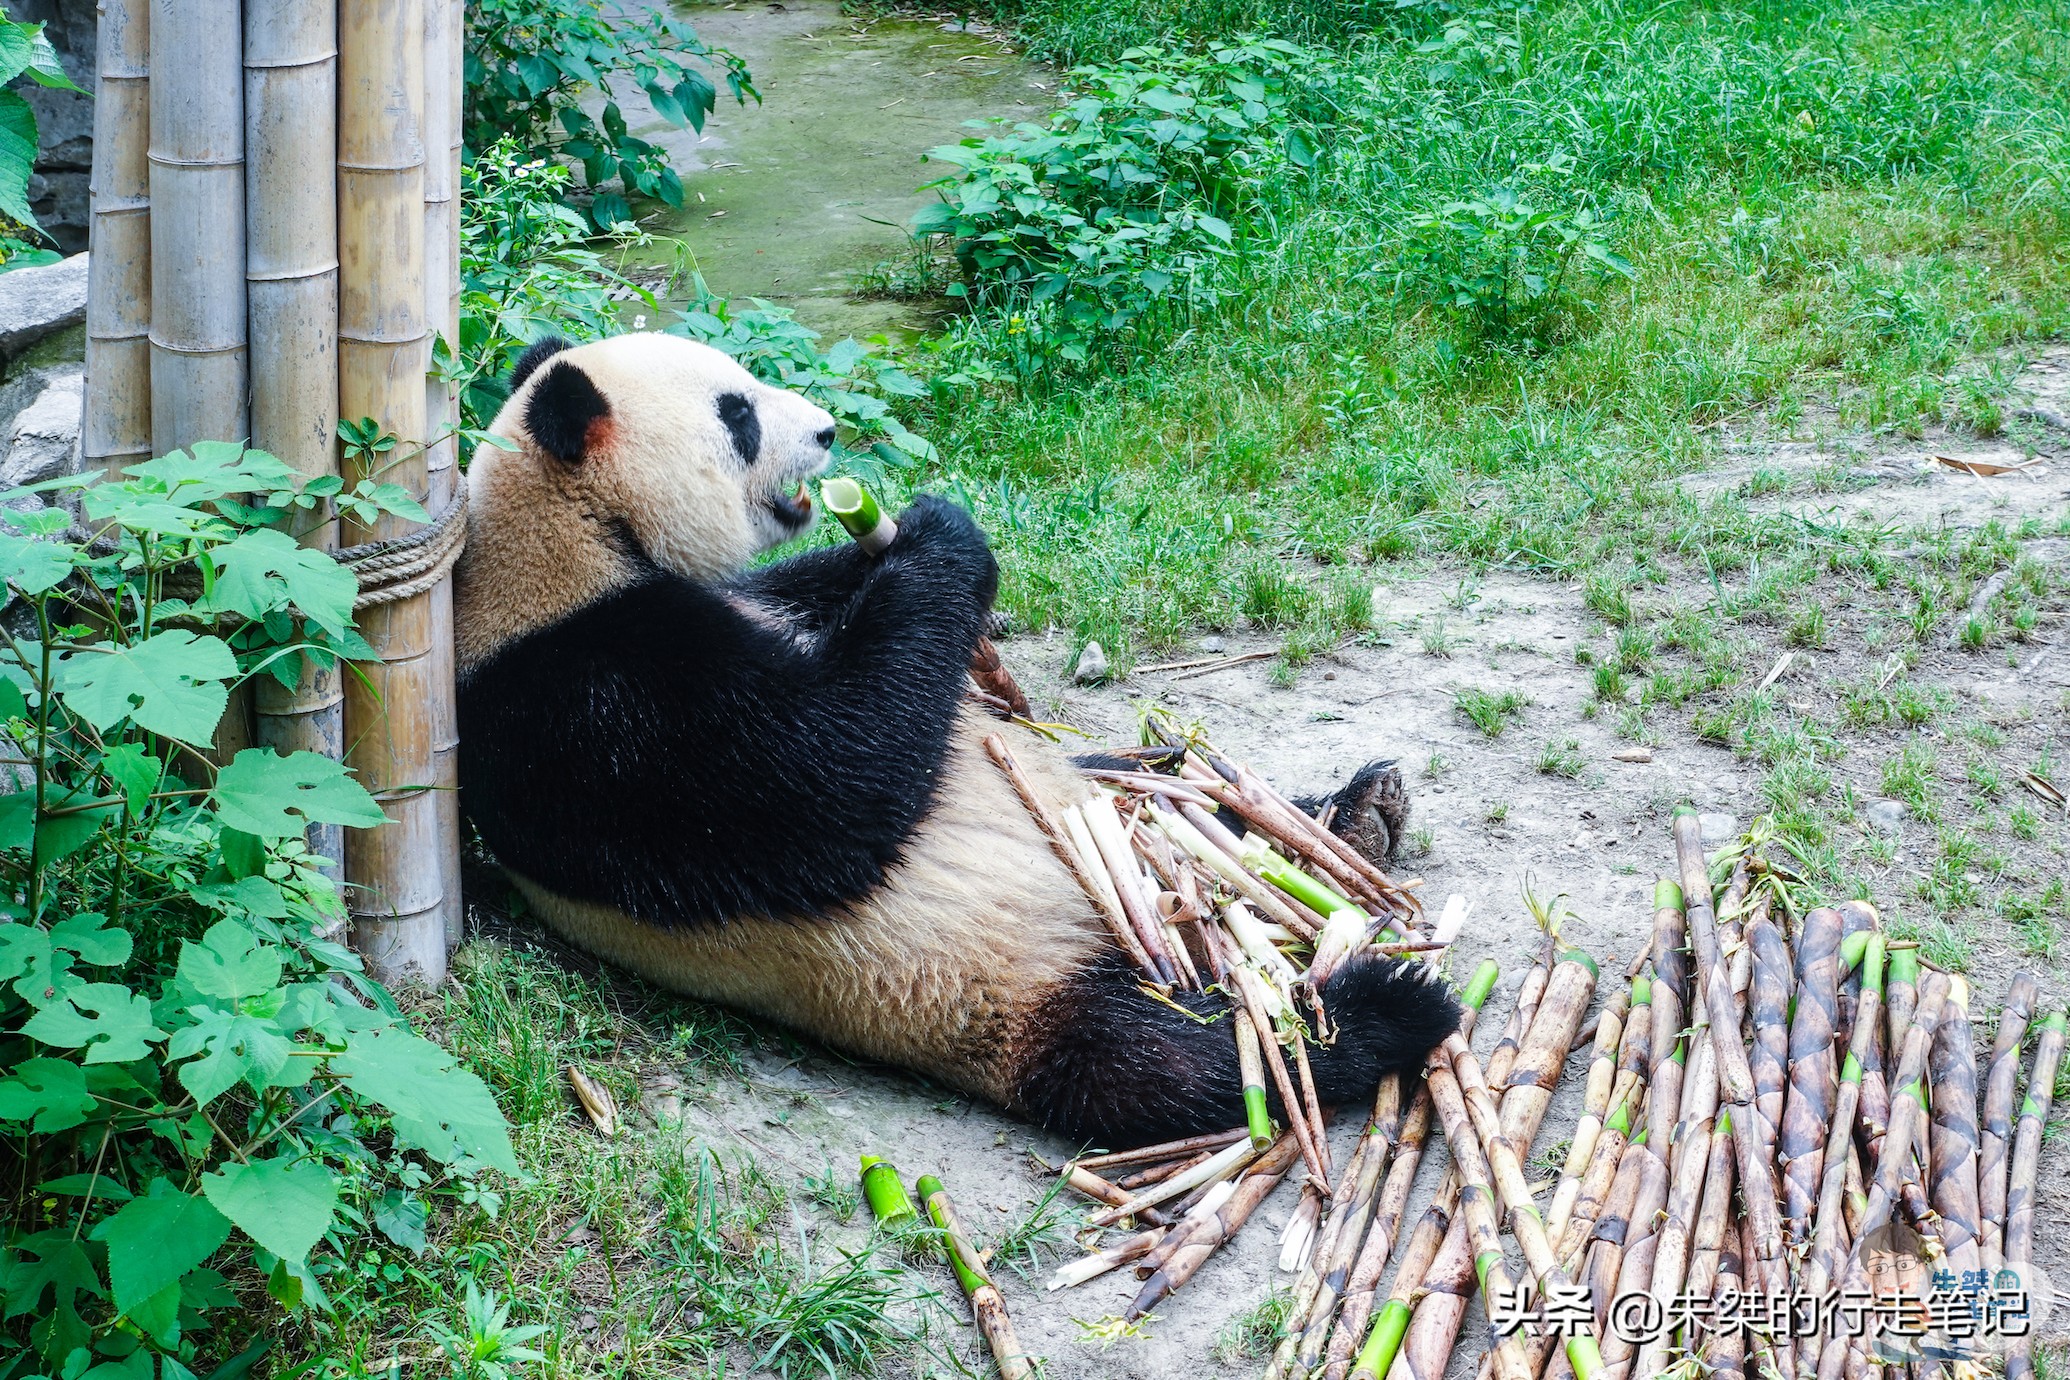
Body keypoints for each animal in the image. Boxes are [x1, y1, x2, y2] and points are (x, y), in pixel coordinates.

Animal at [457, 331, 1457, 1142]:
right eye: (737, 413)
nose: (827, 434)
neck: (570, 540)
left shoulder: (739, 601)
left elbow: (818, 595)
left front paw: (909, 531)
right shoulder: (583, 703)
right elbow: (823, 782)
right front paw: (939, 537)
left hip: (1128, 819)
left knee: (1180, 794)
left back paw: (1353, 815)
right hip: (1000, 990)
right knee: (1171, 1061)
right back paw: (1378, 1009)